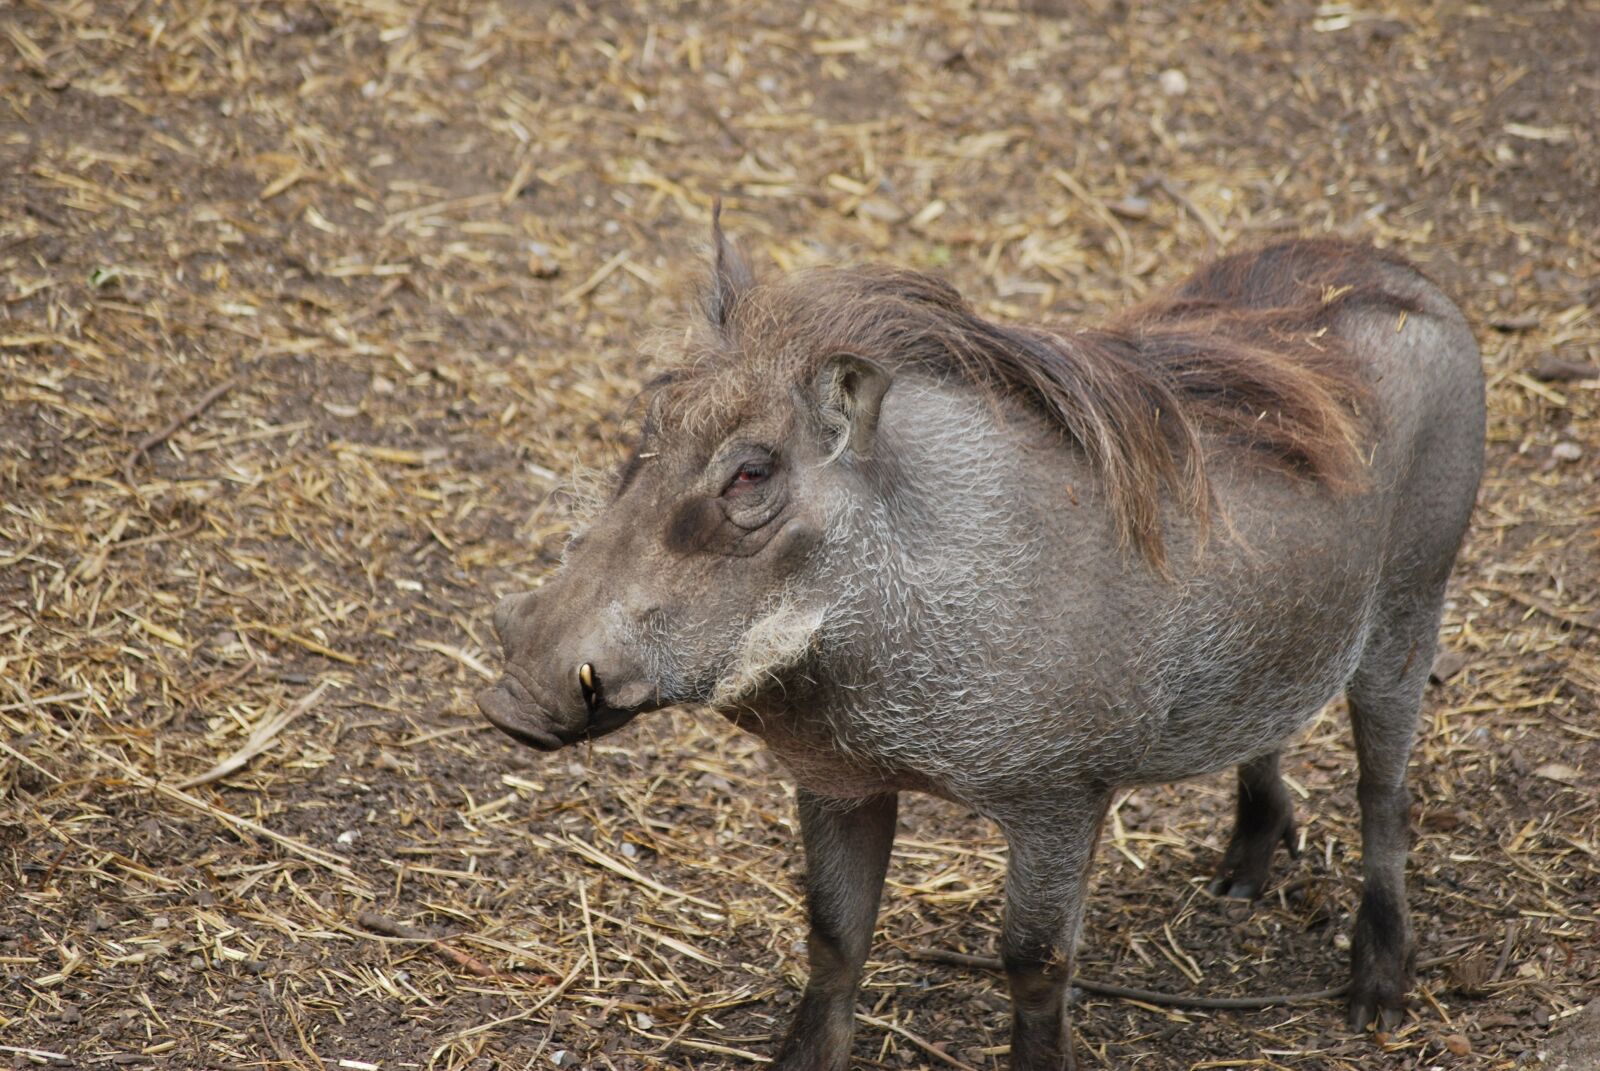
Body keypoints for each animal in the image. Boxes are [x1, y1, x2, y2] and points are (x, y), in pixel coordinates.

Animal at [478, 222, 1485, 1070]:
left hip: (1409, 611)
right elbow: (834, 938)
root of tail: (1407, 273)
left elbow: (1035, 964)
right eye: (647, 433)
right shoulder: (838, 780)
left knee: (1386, 797)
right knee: (1269, 732)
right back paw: (1240, 873)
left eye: (752, 473)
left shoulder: (1060, 798)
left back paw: (1377, 992)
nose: (510, 698)